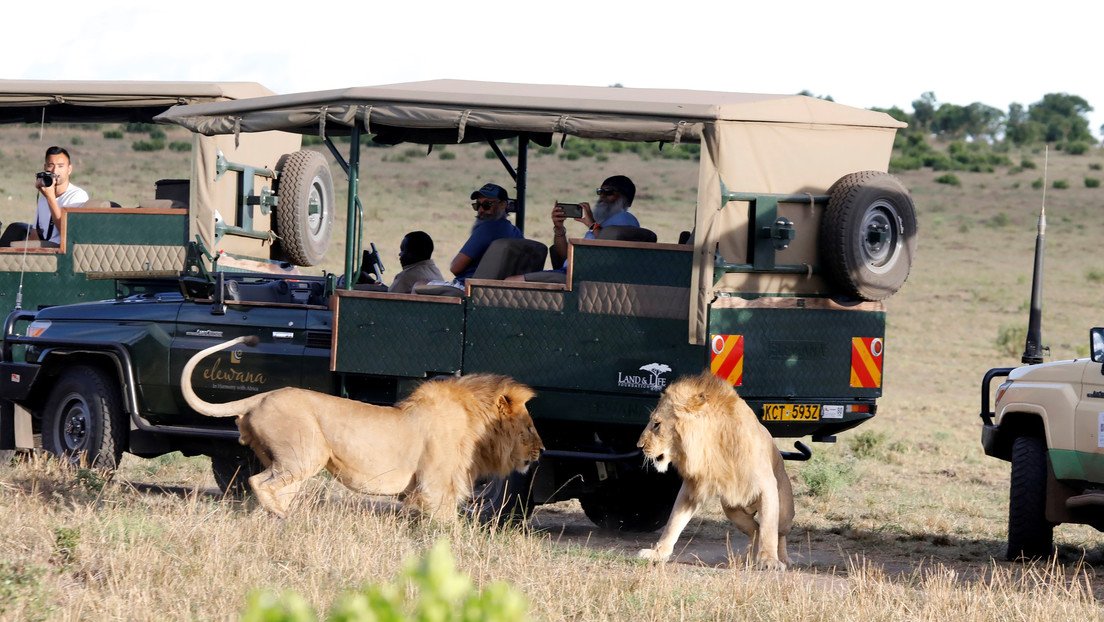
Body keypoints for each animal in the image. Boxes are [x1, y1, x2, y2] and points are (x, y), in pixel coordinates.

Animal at [181, 336, 543, 519]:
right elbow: (446, 523)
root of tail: (262, 396)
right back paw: (282, 516)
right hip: (304, 455)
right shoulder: (435, 485)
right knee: (257, 482)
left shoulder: (419, 490)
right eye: (527, 428)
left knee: (272, 487)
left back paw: (278, 517)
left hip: (291, 463)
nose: (541, 451)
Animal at [636, 371, 794, 569]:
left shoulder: (767, 487)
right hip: (732, 510)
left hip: (784, 512)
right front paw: (656, 554)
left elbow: (769, 530)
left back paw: (783, 559)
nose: (639, 446)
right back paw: (747, 558)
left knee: (779, 533)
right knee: (755, 530)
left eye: (656, 424)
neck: (712, 445)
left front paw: (769, 561)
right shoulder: (692, 487)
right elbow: (673, 523)